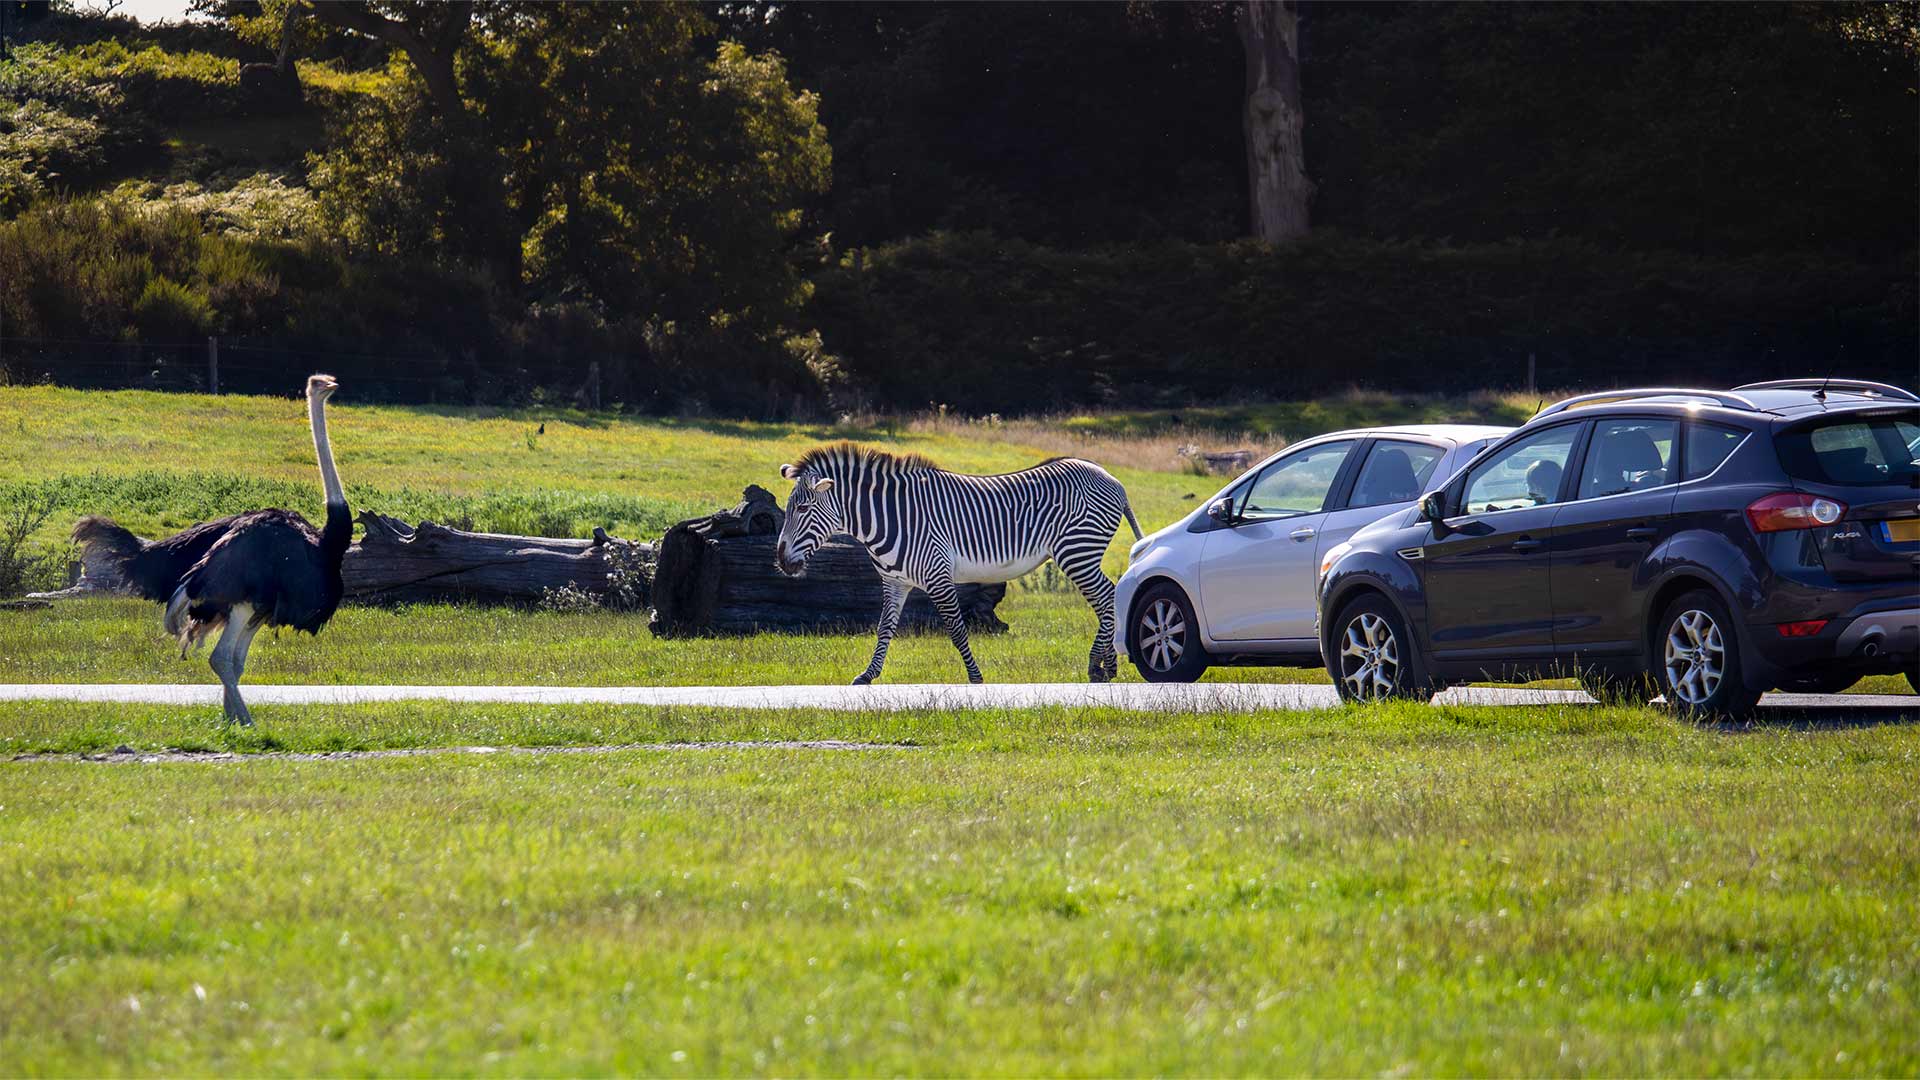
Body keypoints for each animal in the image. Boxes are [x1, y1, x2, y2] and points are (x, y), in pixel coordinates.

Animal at [771, 440, 1144, 680]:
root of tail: (1111, 478)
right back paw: (1107, 666)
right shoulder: (895, 580)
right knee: (1106, 599)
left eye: (802, 508)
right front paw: (867, 675)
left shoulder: (937, 575)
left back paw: (1097, 665)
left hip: (1077, 550)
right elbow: (884, 627)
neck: (891, 518)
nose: (783, 562)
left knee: (1106, 597)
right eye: (790, 508)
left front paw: (975, 676)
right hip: (1081, 551)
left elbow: (956, 628)